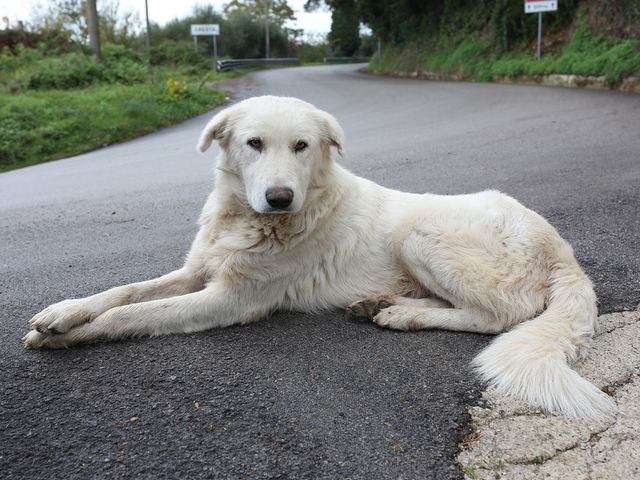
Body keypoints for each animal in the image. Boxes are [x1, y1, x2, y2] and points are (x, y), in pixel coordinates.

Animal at [25, 98, 616, 420]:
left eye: (302, 146)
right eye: (254, 144)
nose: (280, 197)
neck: (253, 221)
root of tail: (564, 250)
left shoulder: (229, 300)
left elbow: (132, 314)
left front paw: (72, 336)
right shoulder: (198, 272)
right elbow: (124, 292)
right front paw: (62, 315)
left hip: (421, 235)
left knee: (501, 316)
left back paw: (401, 315)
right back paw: (384, 302)